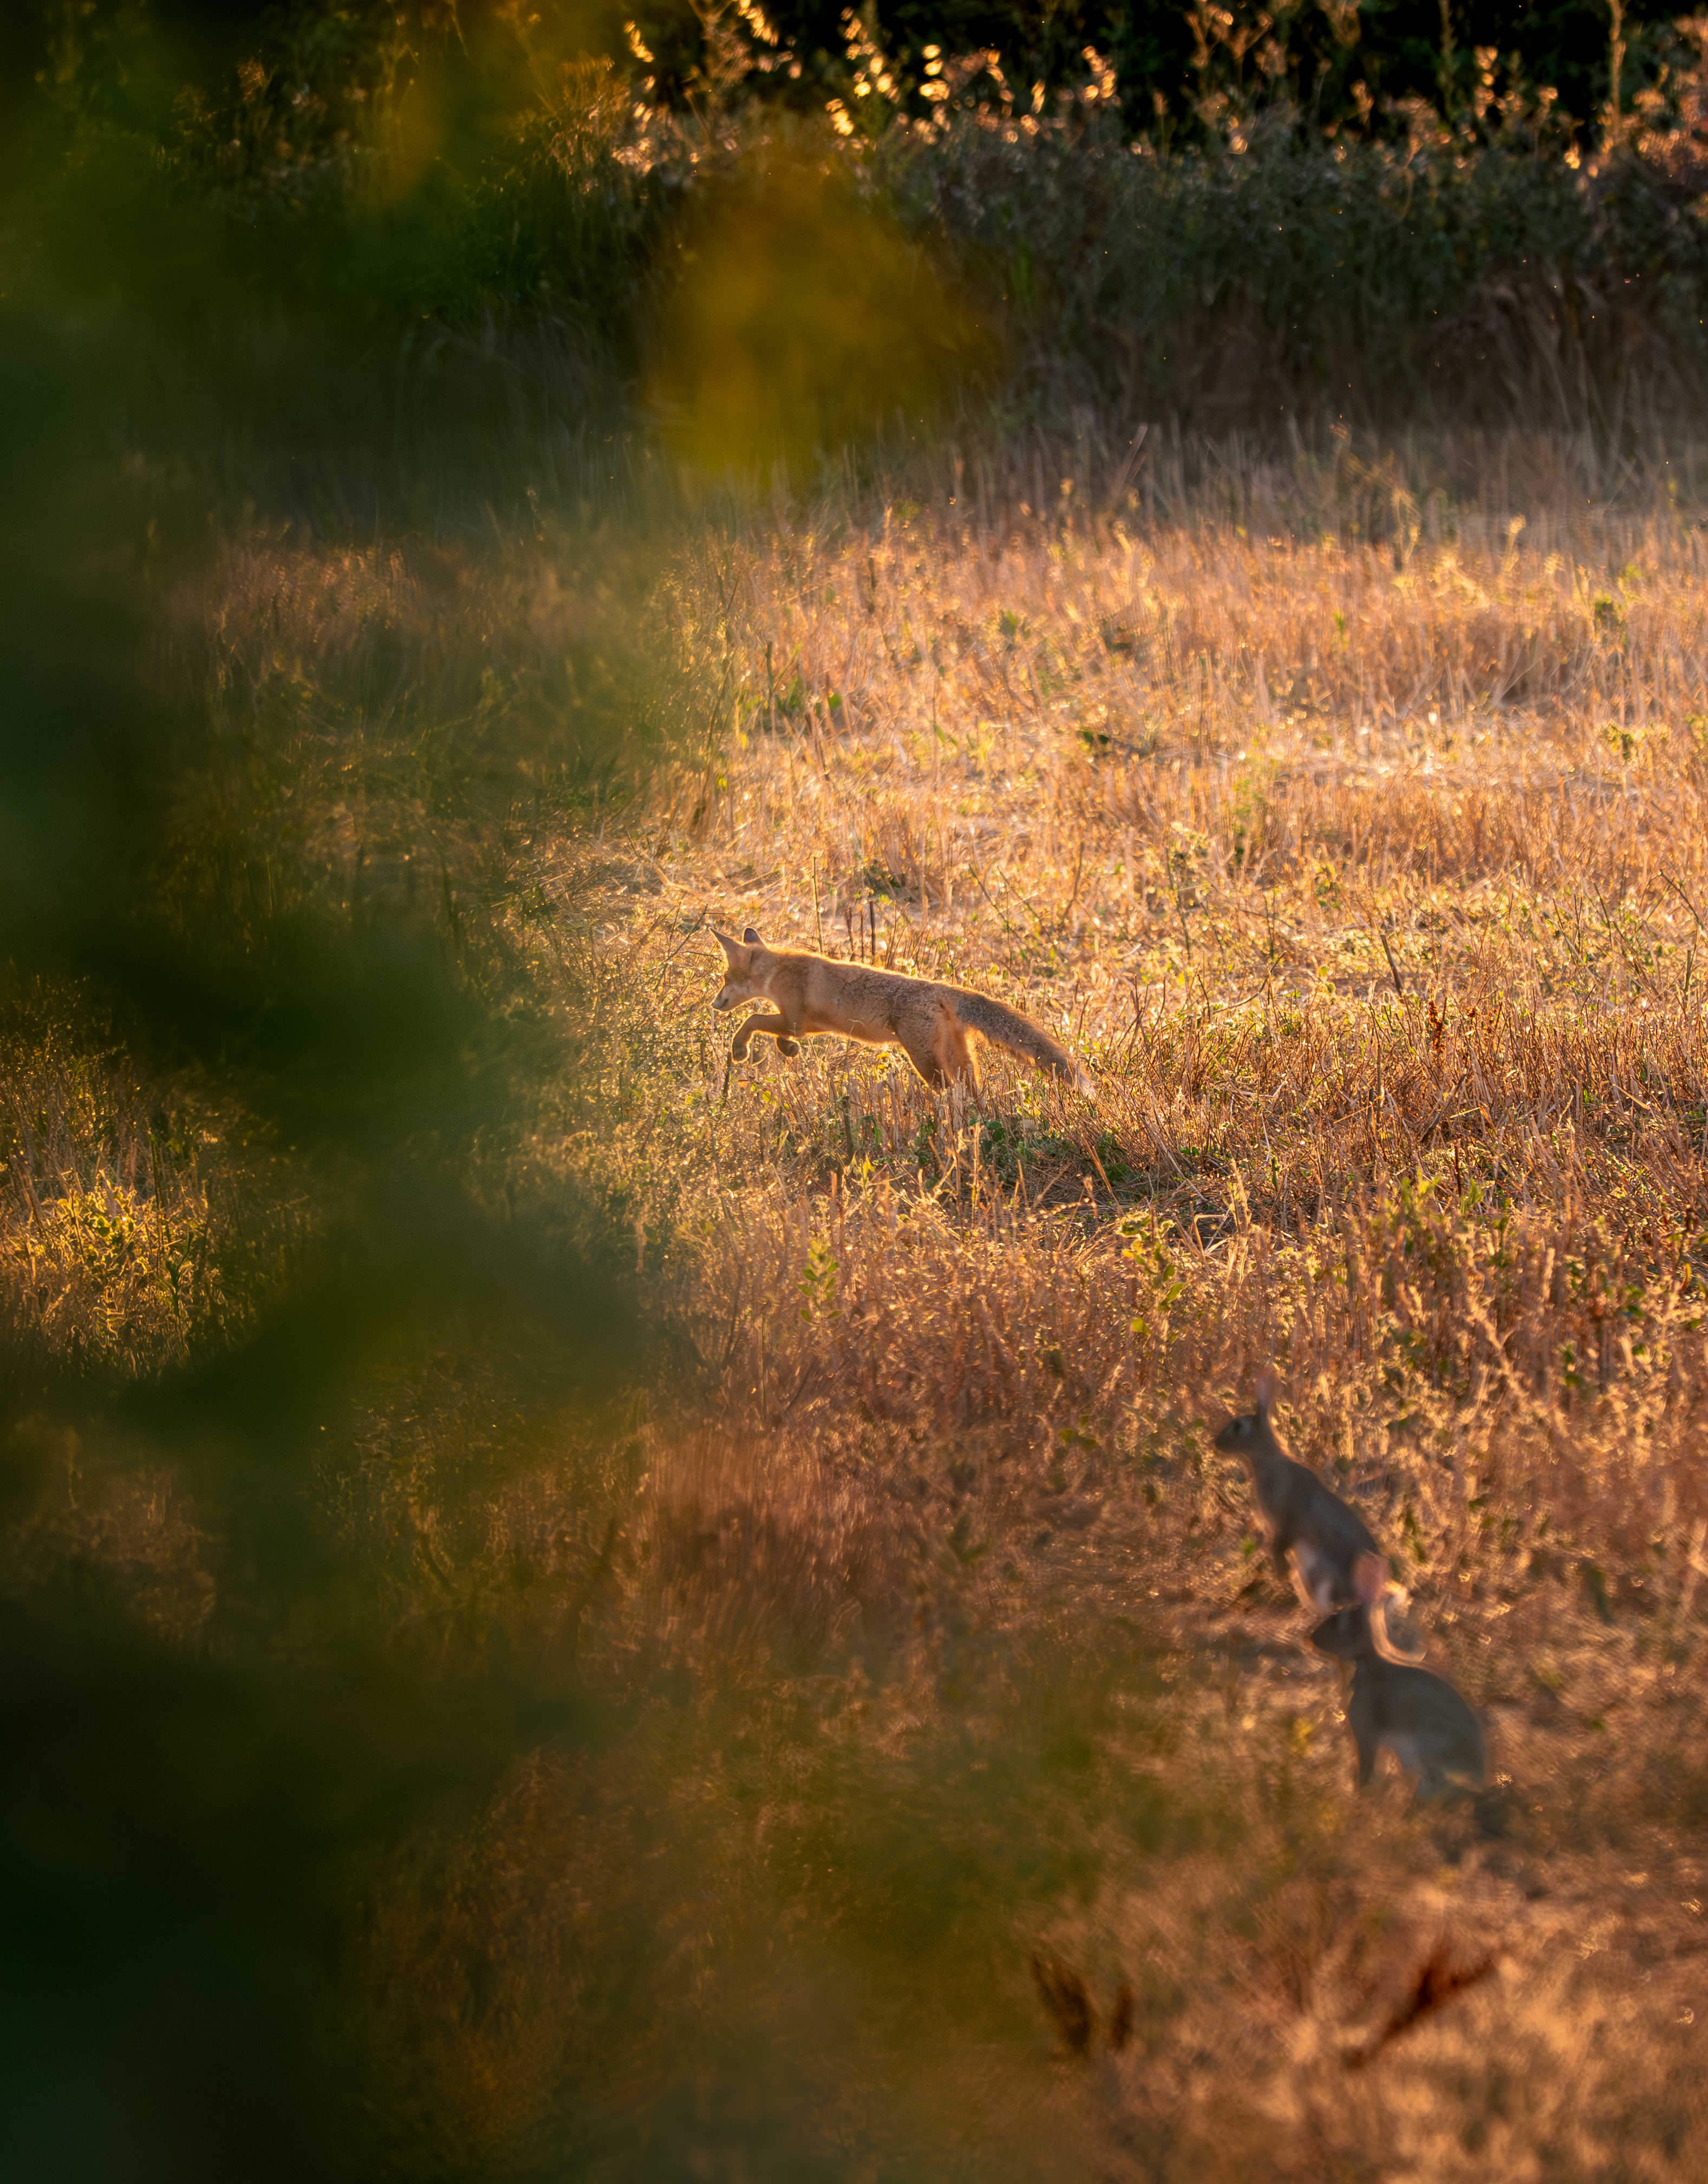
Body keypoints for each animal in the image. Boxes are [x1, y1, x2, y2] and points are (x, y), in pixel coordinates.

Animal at [709, 926, 1096, 1097]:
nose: (714, 1004)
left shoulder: (794, 1018)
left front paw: (740, 1049)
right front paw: (787, 1050)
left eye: (725, 978)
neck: (777, 972)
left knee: (951, 1094)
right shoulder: (810, 1025)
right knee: (972, 1095)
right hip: (958, 1060)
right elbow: (776, 1032)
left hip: (925, 1061)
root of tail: (944, 989)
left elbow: (753, 1019)